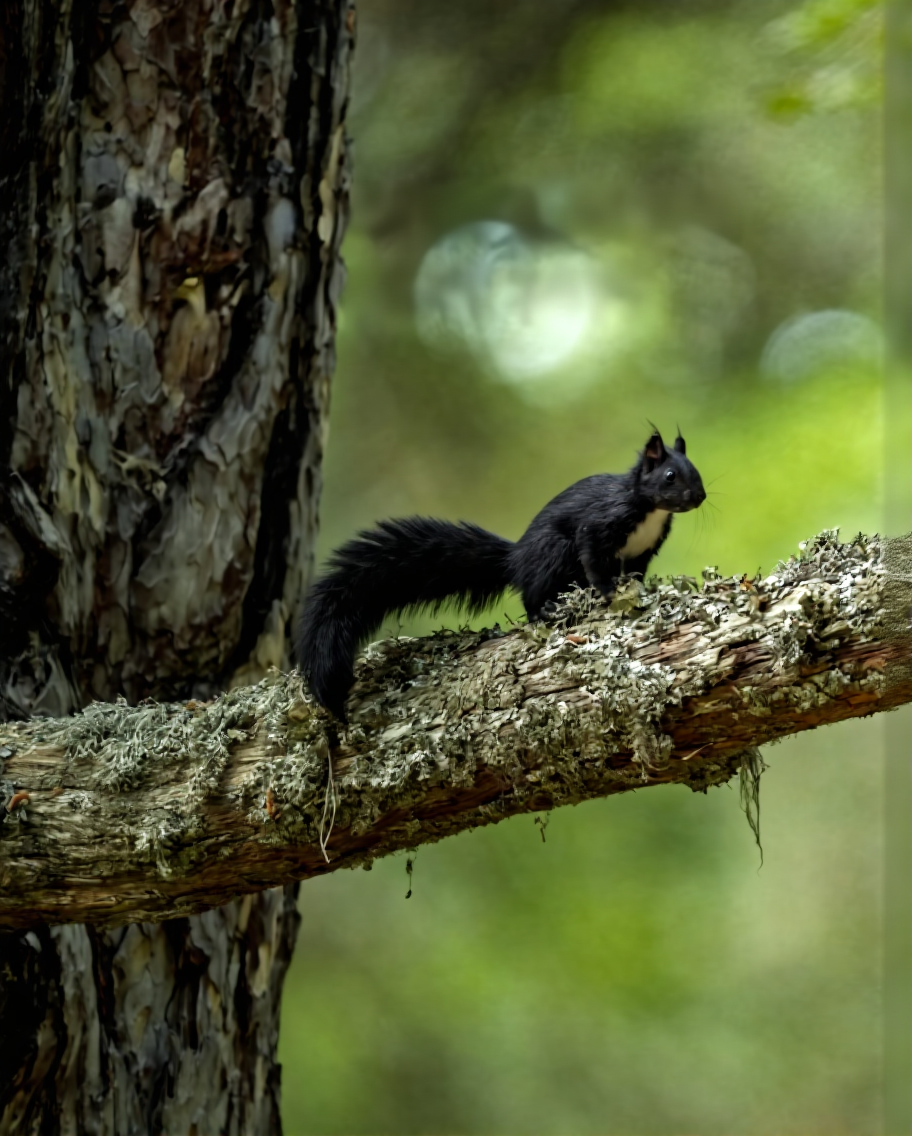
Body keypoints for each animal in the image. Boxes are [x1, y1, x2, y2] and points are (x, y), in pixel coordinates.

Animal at [296, 428, 706, 719]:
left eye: (697, 472)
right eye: (670, 475)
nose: (699, 497)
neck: (651, 511)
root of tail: (516, 559)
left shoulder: (642, 552)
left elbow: (635, 572)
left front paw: (635, 589)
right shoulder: (599, 523)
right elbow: (593, 558)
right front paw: (606, 591)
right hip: (552, 552)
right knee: (531, 595)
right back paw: (545, 610)